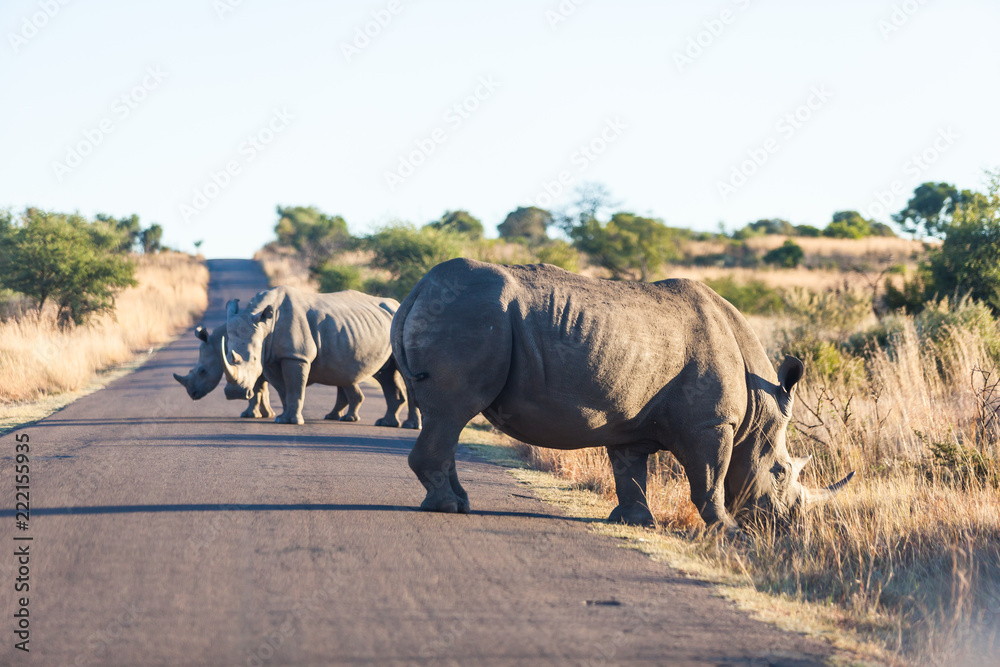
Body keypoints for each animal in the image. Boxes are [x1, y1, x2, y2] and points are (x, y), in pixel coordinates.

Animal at [221, 287, 419, 428]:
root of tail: (397, 305)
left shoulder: (297, 355)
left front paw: (292, 421)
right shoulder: (272, 358)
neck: (265, 326)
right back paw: (385, 423)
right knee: (385, 374)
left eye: (254, 359)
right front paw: (282, 418)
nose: (235, 393)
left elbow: (295, 386)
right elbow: (284, 389)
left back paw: (409, 426)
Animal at [391, 258, 853, 529]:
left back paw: (461, 504)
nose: (789, 526)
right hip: (471, 312)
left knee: (446, 418)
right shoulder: (713, 423)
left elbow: (630, 471)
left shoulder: (630, 419)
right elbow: (711, 477)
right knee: (453, 412)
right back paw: (449, 509)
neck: (761, 409)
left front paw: (636, 522)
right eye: (781, 472)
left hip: (465, 311)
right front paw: (726, 529)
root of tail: (419, 288)